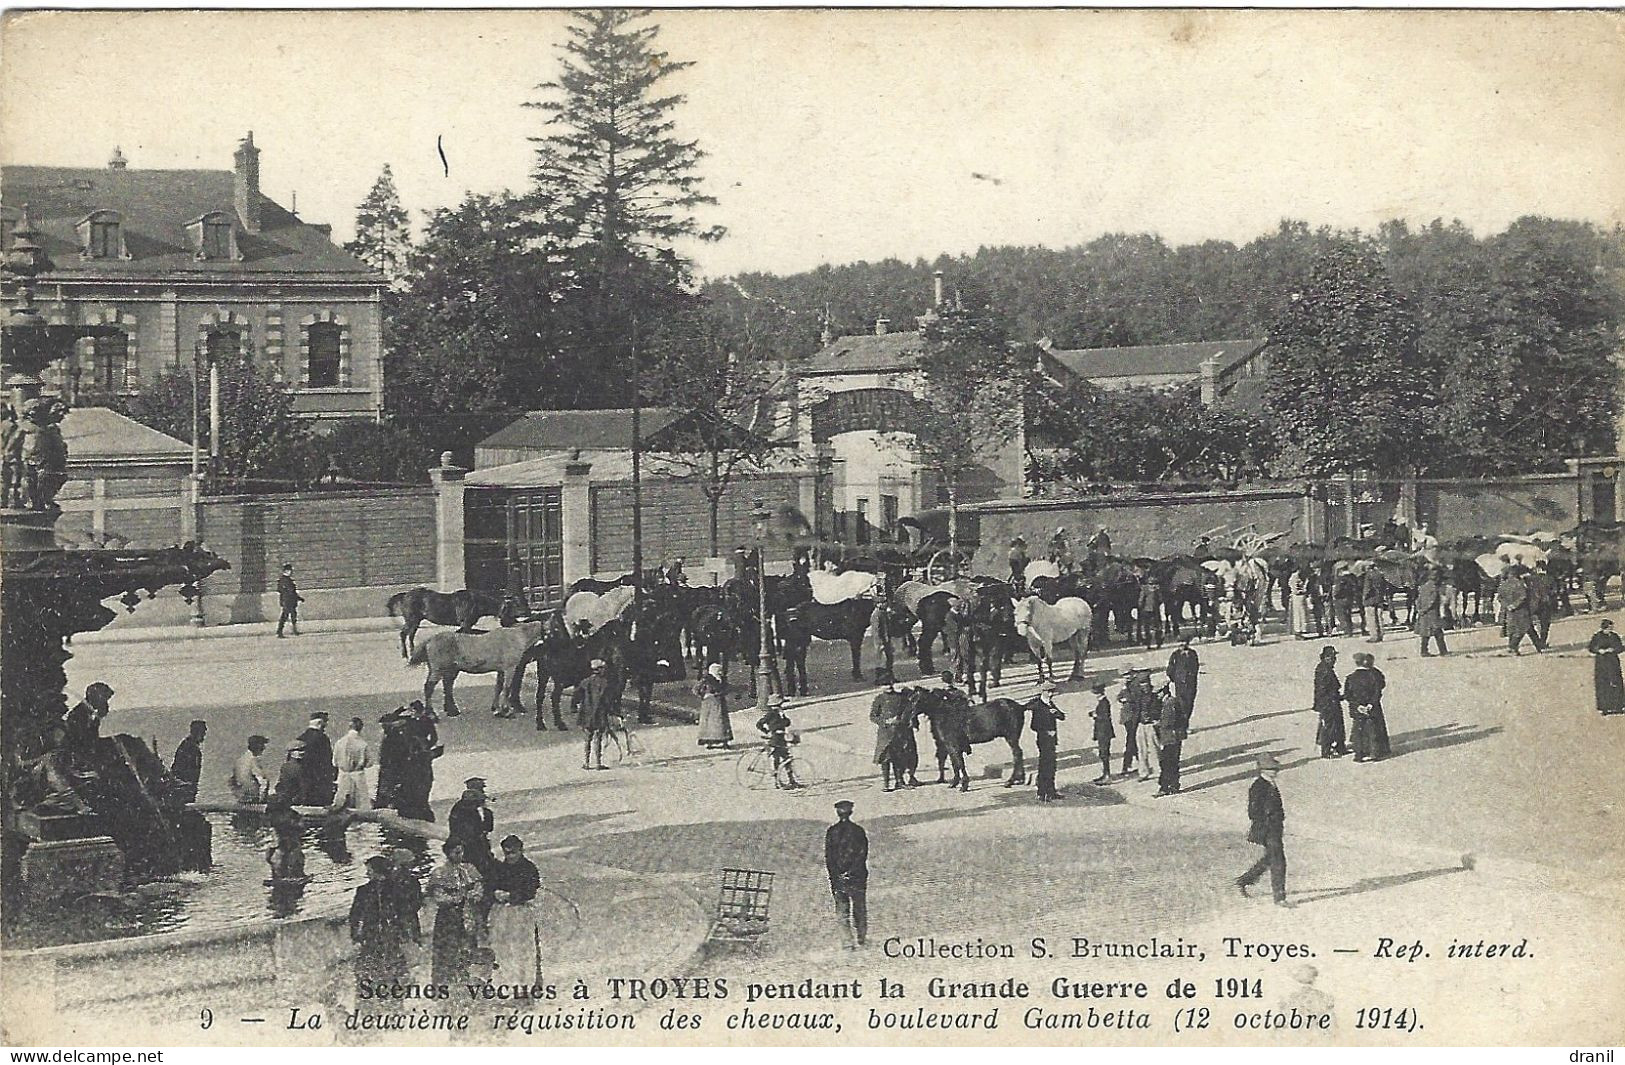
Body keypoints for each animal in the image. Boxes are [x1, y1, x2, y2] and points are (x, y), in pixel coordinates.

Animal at [409, 621, 549, 721]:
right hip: (438, 670)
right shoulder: (510, 668)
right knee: (429, 688)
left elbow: (498, 687)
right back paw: (432, 715)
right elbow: (507, 688)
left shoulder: (501, 670)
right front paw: (506, 712)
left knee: (446, 686)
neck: (517, 635)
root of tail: (429, 640)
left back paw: (451, 711)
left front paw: (497, 710)